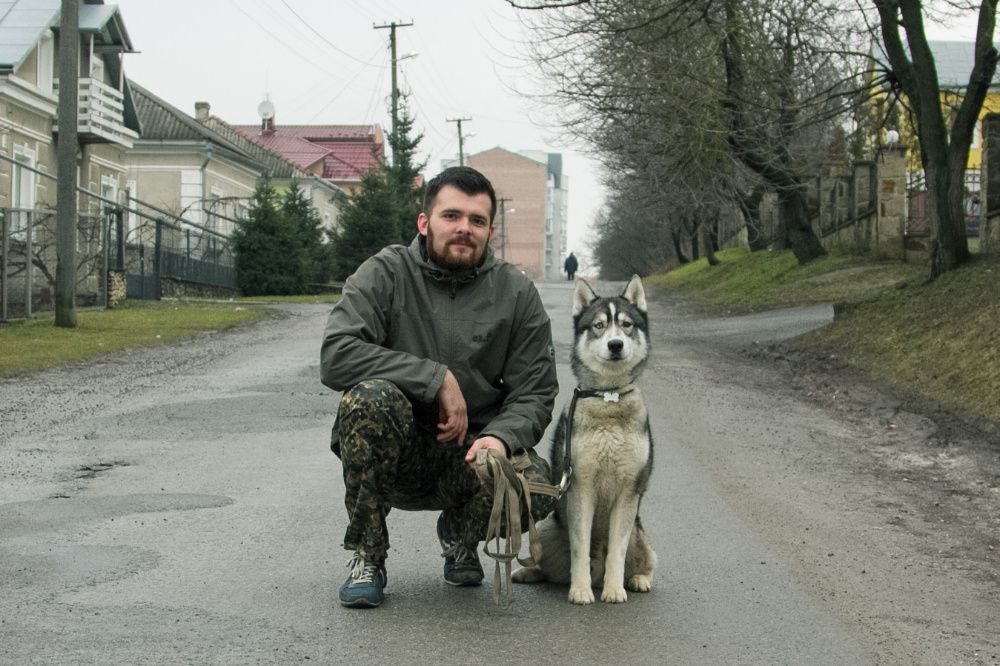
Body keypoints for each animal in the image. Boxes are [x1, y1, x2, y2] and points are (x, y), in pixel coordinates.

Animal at [516, 274, 656, 600]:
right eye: (599, 325)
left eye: (627, 324)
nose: (615, 344)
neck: (608, 397)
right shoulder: (581, 488)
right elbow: (579, 549)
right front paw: (580, 591)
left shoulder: (628, 492)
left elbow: (617, 552)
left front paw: (614, 590)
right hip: (546, 527)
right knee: (550, 567)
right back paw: (529, 572)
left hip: (638, 533)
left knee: (646, 559)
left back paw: (638, 579)